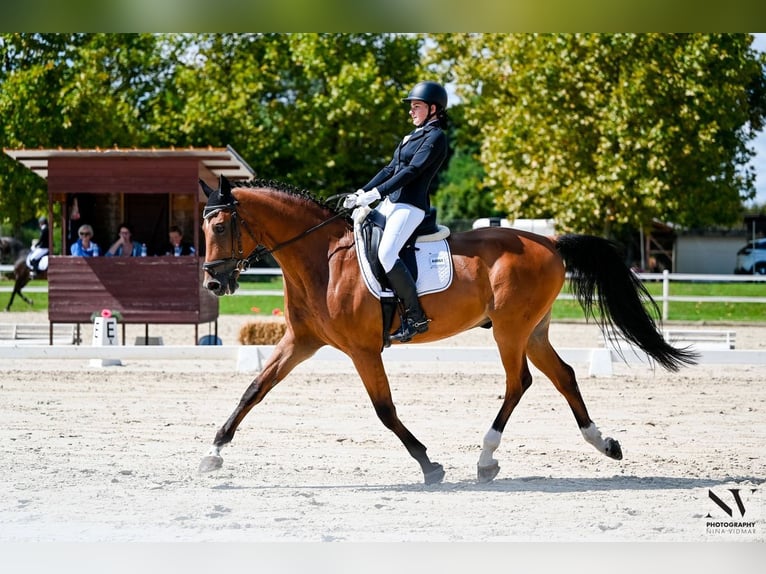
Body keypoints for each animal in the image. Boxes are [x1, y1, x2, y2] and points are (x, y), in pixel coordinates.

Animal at [197, 176, 697, 484]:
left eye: (220, 225)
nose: (214, 283)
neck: (322, 259)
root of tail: (550, 241)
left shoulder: (363, 350)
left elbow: (385, 411)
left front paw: (429, 465)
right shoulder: (301, 341)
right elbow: (254, 390)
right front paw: (214, 452)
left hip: (509, 329)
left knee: (519, 382)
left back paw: (486, 458)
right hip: (533, 330)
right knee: (563, 376)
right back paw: (604, 442)